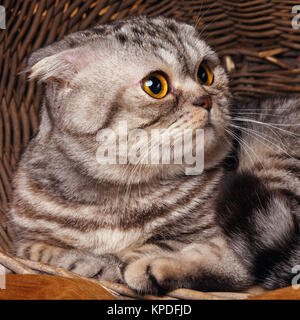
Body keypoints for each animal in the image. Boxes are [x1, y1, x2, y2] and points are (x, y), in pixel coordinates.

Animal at [7, 16, 300, 294]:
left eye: (204, 74)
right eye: (154, 85)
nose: (205, 99)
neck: (115, 194)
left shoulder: (213, 226)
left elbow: (179, 248)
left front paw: (116, 261)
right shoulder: (25, 237)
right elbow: (37, 250)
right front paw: (84, 260)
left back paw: (151, 268)